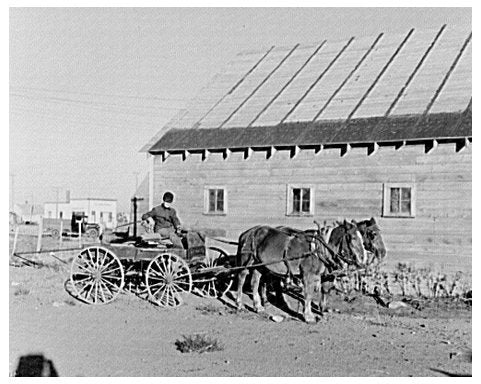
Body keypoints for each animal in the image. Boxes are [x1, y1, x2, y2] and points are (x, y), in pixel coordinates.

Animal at [235, 220, 364, 322]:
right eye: (352, 238)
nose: (362, 259)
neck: (318, 249)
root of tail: (246, 233)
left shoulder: (325, 275)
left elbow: (325, 289)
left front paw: (323, 310)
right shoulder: (308, 275)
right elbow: (308, 294)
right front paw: (308, 316)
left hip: (259, 265)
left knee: (255, 282)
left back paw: (258, 307)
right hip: (246, 261)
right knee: (241, 278)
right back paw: (239, 304)